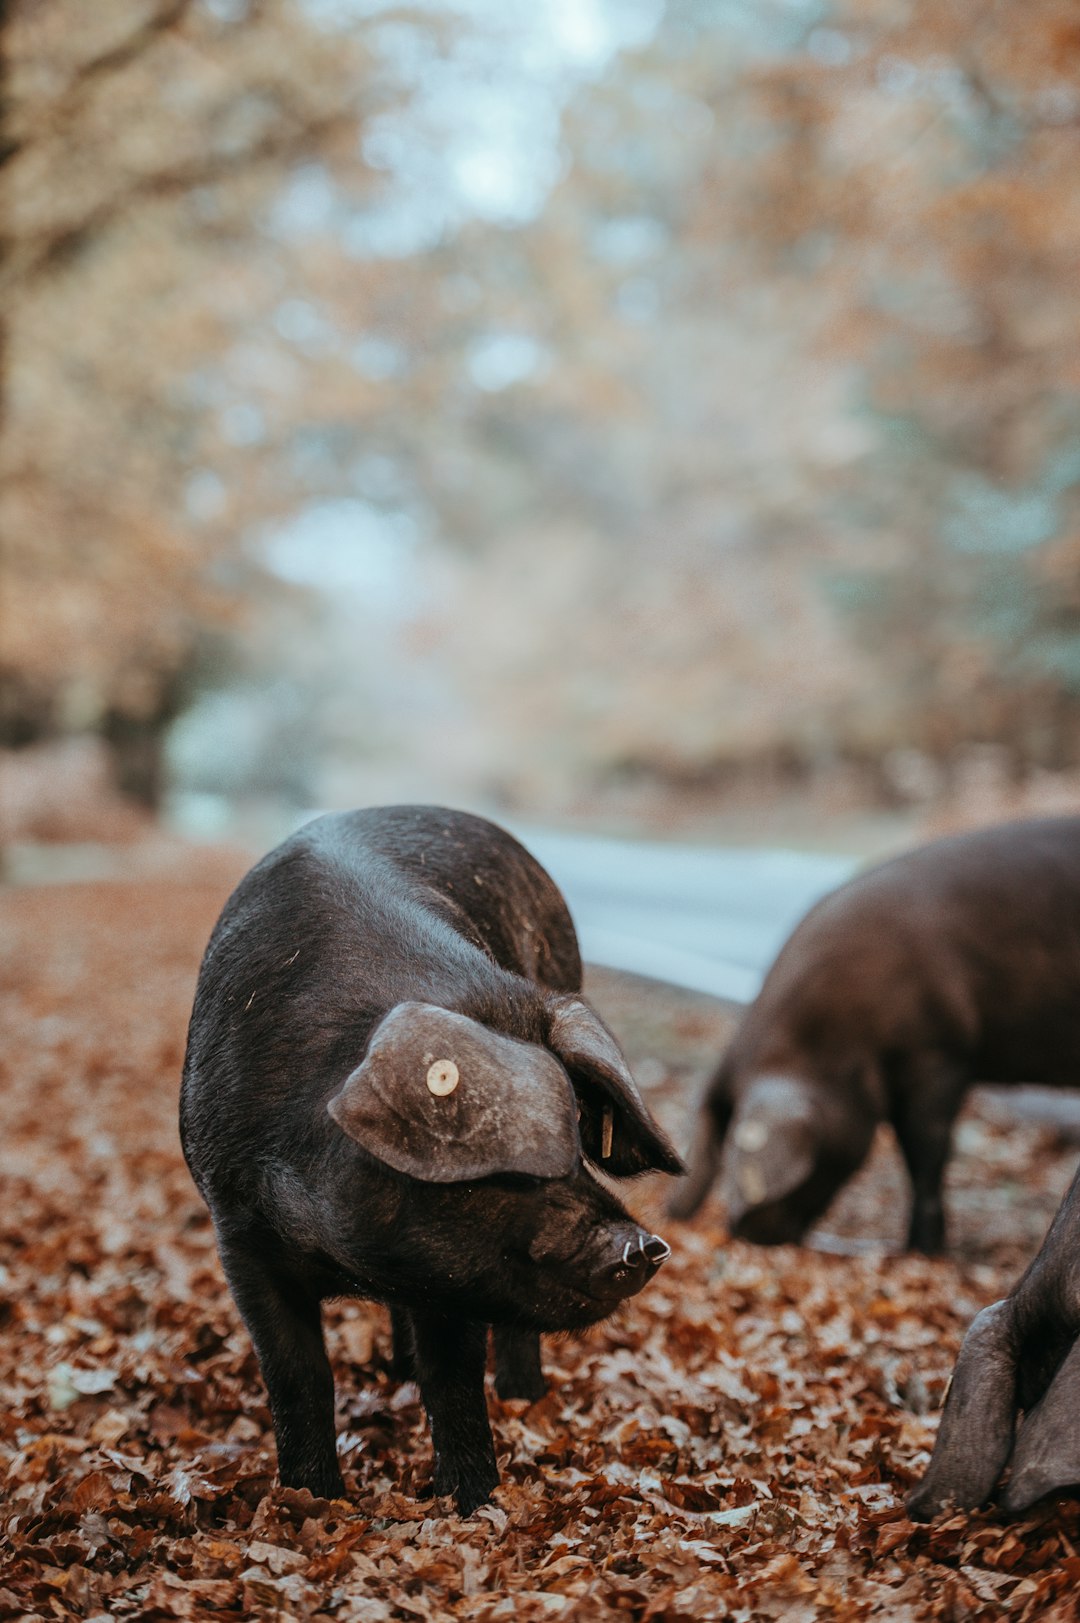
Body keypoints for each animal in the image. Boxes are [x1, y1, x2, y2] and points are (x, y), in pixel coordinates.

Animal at [180, 805, 678, 1512]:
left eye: (579, 1136)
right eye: (498, 1162)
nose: (643, 1247)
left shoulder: (458, 1276)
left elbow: (455, 1378)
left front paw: (473, 1504)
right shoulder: (238, 1231)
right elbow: (298, 1376)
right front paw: (312, 1501)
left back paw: (521, 1398)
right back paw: (399, 1372)